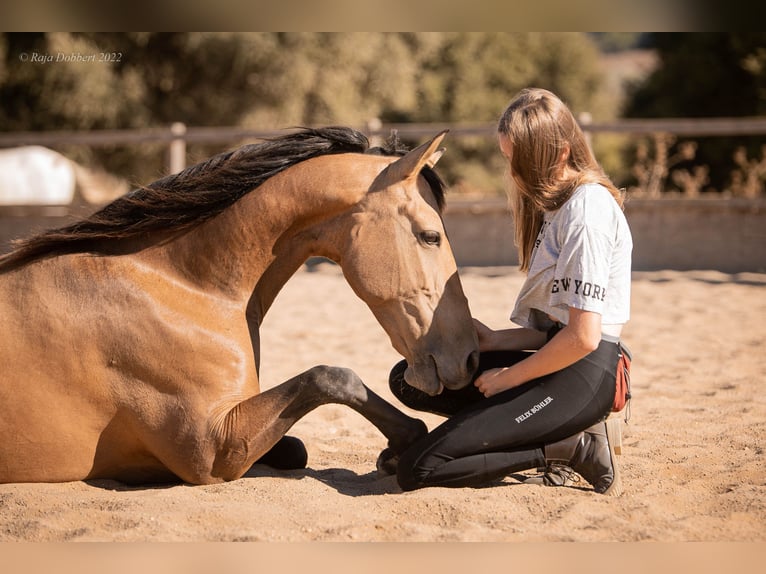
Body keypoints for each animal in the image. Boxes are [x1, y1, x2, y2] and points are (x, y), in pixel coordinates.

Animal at [0, 127, 480, 486]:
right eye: (430, 236)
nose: (469, 358)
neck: (184, 288)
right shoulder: (212, 450)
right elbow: (331, 377)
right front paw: (404, 442)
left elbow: (298, 446)